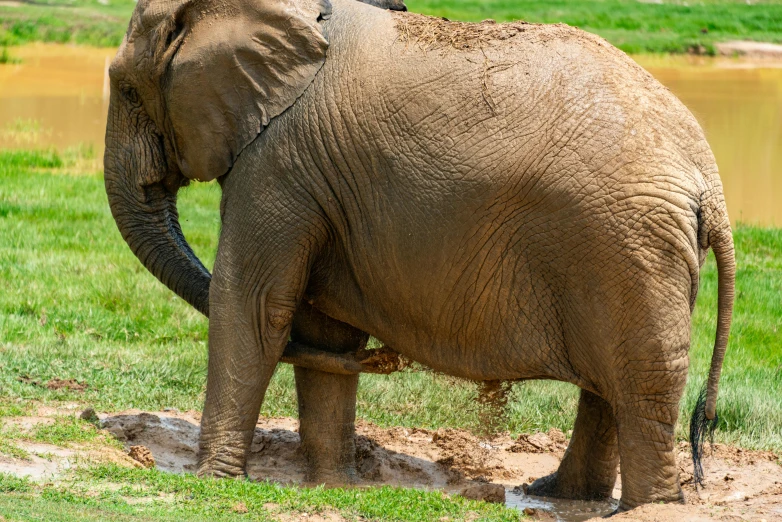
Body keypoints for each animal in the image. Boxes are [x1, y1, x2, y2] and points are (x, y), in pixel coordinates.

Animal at [102, 0, 736, 508]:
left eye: (128, 88)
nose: (389, 357)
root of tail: (708, 179)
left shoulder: (278, 157)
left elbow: (254, 304)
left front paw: (211, 482)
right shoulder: (317, 178)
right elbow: (324, 328)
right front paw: (334, 485)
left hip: (627, 246)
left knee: (641, 385)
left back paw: (646, 507)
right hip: (625, 251)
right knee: (611, 384)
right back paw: (556, 496)